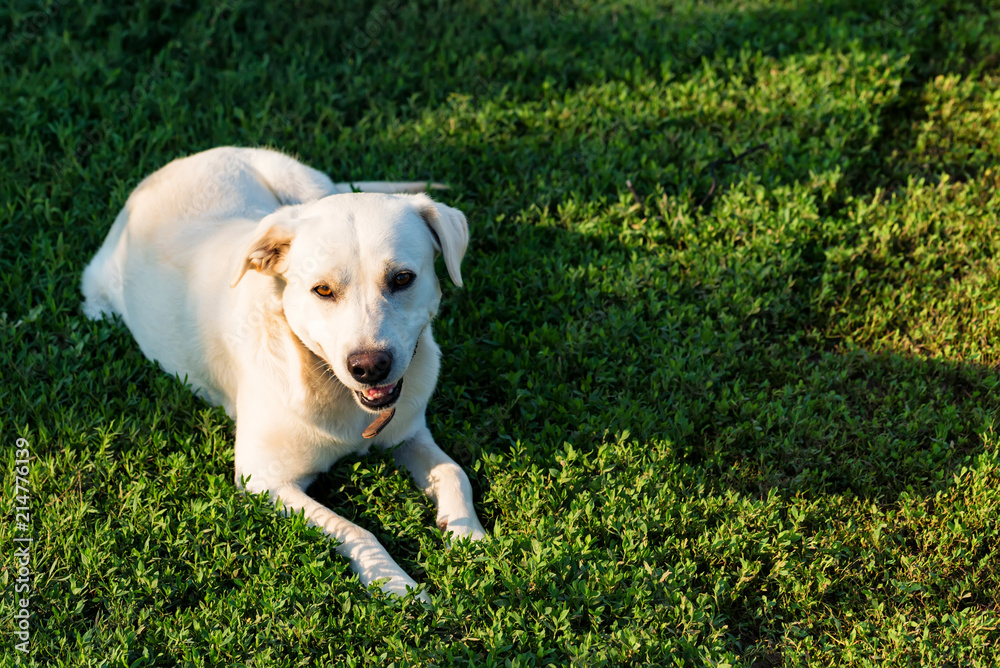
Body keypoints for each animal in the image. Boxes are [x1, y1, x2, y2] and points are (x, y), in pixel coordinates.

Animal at [81, 147, 484, 600]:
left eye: (402, 278)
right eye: (322, 290)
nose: (369, 367)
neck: (326, 381)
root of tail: (178, 164)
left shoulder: (409, 433)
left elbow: (454, 472)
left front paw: (470, 535)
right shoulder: (264, 480)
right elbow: (357, 531)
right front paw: (397, 584)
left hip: (303, 185)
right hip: (99, 301)